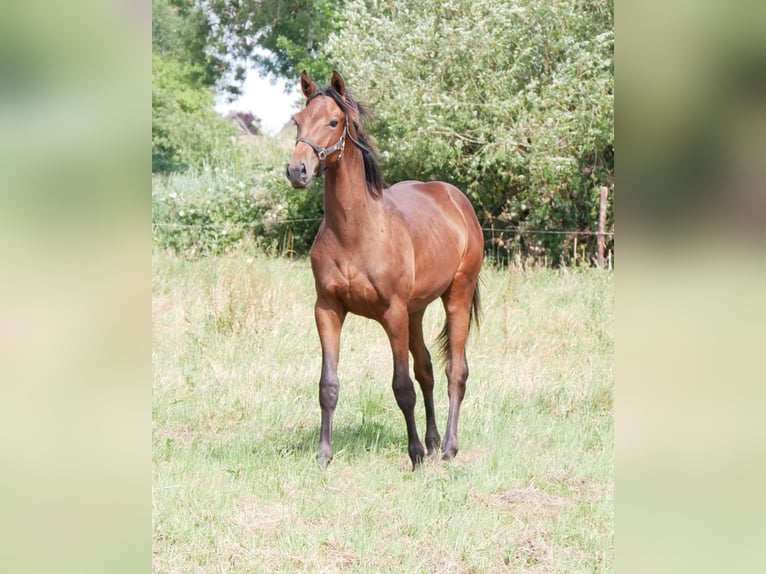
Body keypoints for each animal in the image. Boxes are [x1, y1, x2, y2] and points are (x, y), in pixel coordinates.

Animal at [286, 70, 483, 469]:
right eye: (298, 120)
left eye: (334, 122)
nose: (297, 171)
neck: (355, 232)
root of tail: (457, 200)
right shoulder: (327, 310)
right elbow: (328, 385)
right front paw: (324, 454)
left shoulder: (392, 313)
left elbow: (401, 386)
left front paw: (415, 455)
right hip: (415, 312)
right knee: (426, 370)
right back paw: (434, 441)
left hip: (456, 295)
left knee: (455, 371)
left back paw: (448, 448)